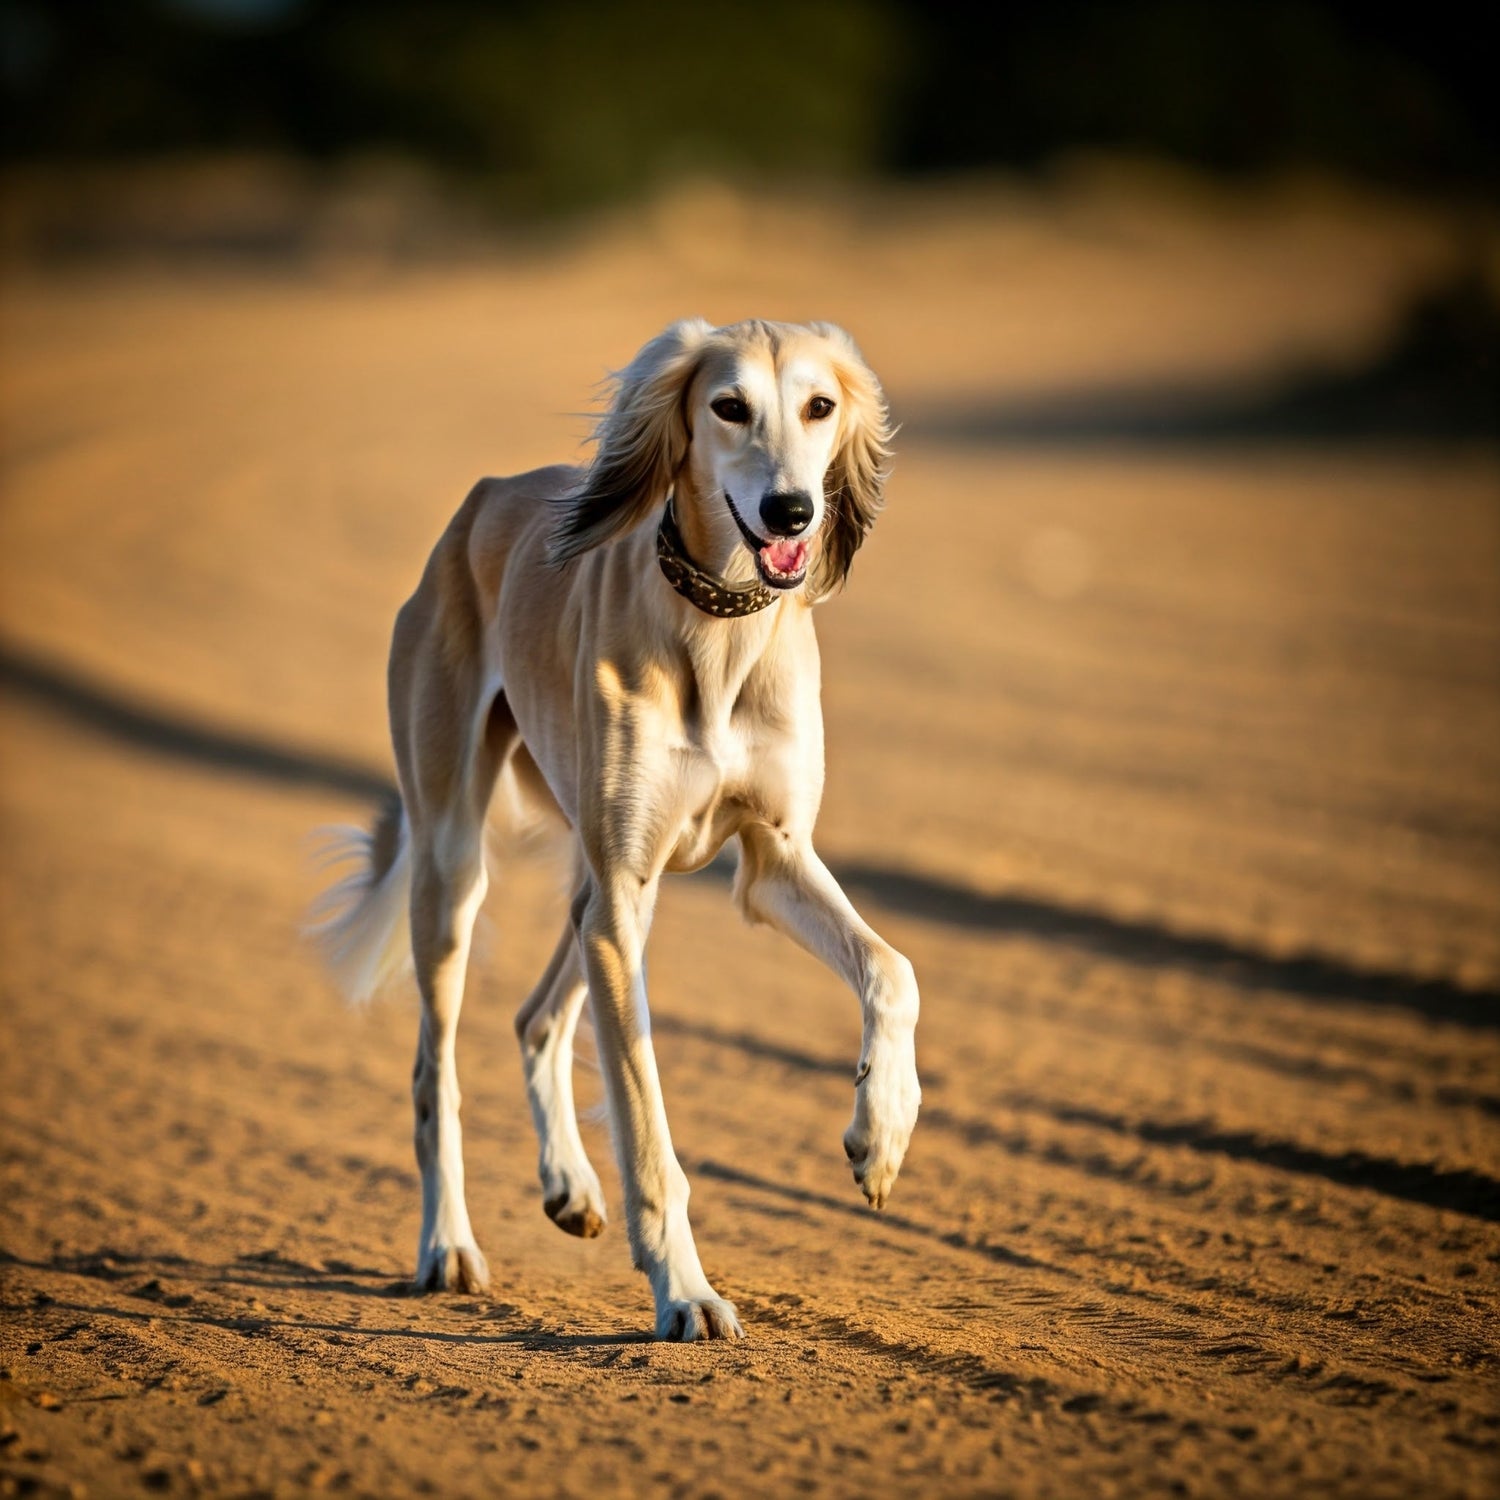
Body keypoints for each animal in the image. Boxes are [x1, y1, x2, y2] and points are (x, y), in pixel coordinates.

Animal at [312, 313, 918, 1338]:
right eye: (729, 406)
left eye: (819, 405)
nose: (792, 512)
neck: (720, 626)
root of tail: (483, 498)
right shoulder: (628, 891)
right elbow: (645, 1122)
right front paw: (686, 1293)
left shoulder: (771, 861)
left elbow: (893, 970)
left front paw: (881, 1136)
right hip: (458, 861)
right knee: (436, 1073)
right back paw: (447, 1246)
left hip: (607, 888)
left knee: (533, 1018)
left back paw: (566, 1185)